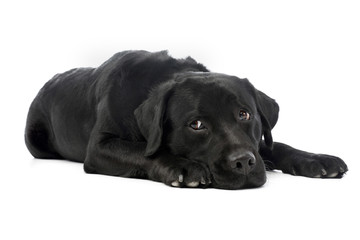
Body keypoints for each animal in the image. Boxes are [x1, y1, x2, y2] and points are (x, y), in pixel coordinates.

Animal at [23, 50, 348, 189]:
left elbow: (274, 145)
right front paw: (183, 167)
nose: (243, 163)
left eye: (244, 114)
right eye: (196, 125)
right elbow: (143, 151)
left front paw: (317, 159)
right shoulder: (101, 147)